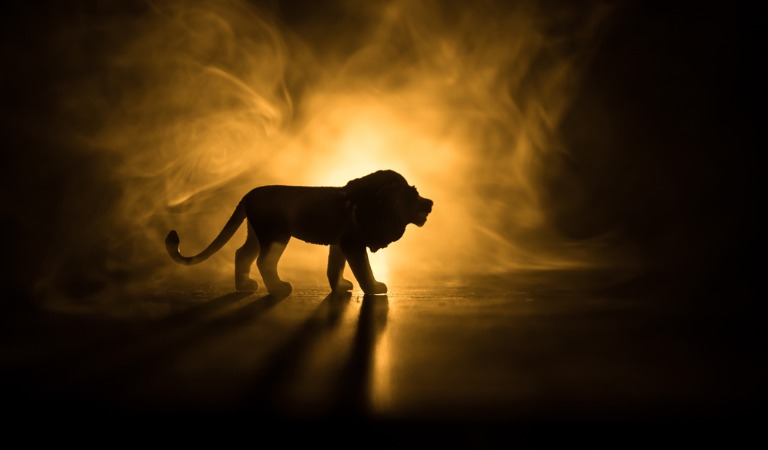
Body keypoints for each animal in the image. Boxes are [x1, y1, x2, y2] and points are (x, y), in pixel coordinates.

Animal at [165, 170, 433, 296]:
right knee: (264, 261)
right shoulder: (352, 243)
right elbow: (363, 269)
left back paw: (244, 287)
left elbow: (335, 267)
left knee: (242, 254)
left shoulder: (339, 242)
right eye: (413, 194)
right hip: (275, 235)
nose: (430, 203)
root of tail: (249, 194)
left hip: (257, 233)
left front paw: (340, 287)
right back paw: (278, 289)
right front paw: (375, 287)